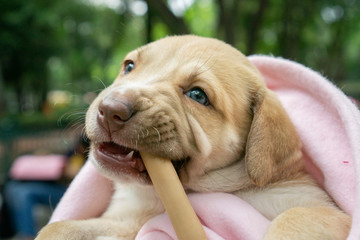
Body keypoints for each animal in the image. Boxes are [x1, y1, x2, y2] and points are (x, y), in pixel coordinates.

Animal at [36, 34, 352, 239]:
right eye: (129, 66)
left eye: (198, 95)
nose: (110, 110)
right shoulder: (126, 221)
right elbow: (58, 227)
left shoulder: (322, 209)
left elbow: (294, 218)